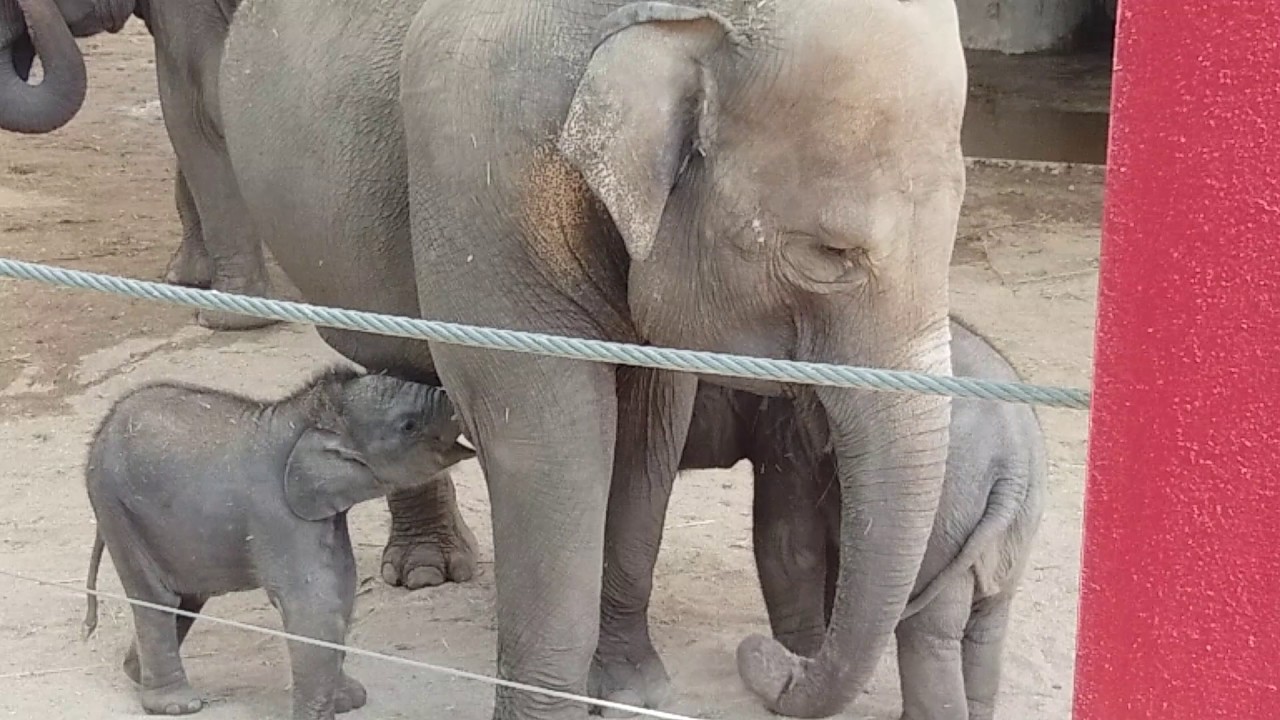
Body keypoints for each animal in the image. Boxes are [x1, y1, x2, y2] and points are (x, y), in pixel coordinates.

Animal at [81, 367, 476, 719]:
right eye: (408, 425)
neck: (307, 415)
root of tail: (101, 432)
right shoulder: (278, 514)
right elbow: (313, 604)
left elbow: (342, 590)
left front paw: (349, 701)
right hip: (117, 508)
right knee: (156, 600)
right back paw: (178, 706)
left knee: (186, 599)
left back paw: (135, 673)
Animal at [221, 1, 969, 719]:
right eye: (828, 254)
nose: (769, 659)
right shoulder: (484, 178)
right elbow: (551, 441)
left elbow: (647, 434)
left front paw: (632, 693)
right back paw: (426, 572)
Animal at [677, 318, 1048, 720]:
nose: (756, 649)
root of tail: (1012, 464)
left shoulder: (787, 436)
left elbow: (786, 549)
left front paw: (800, 655)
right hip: (1015, 530)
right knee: (987, 621)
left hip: (947, 518)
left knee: (929, 628)